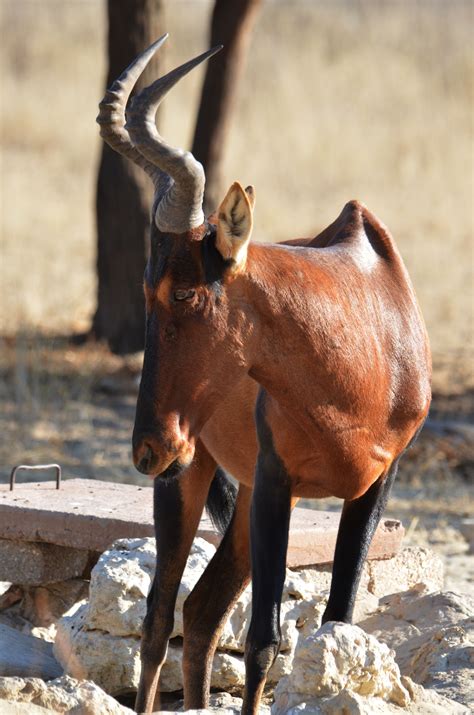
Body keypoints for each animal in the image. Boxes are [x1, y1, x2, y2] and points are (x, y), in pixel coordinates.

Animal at [98, 37, 432, 715]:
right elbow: (262, 641)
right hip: (194, 475)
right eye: (147, 289)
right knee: (160, 615)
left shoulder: (375, 483)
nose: (147, 449)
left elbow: (337, 621)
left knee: (202, 610)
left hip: (241, 493)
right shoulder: (278, 480)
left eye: (185, 290)